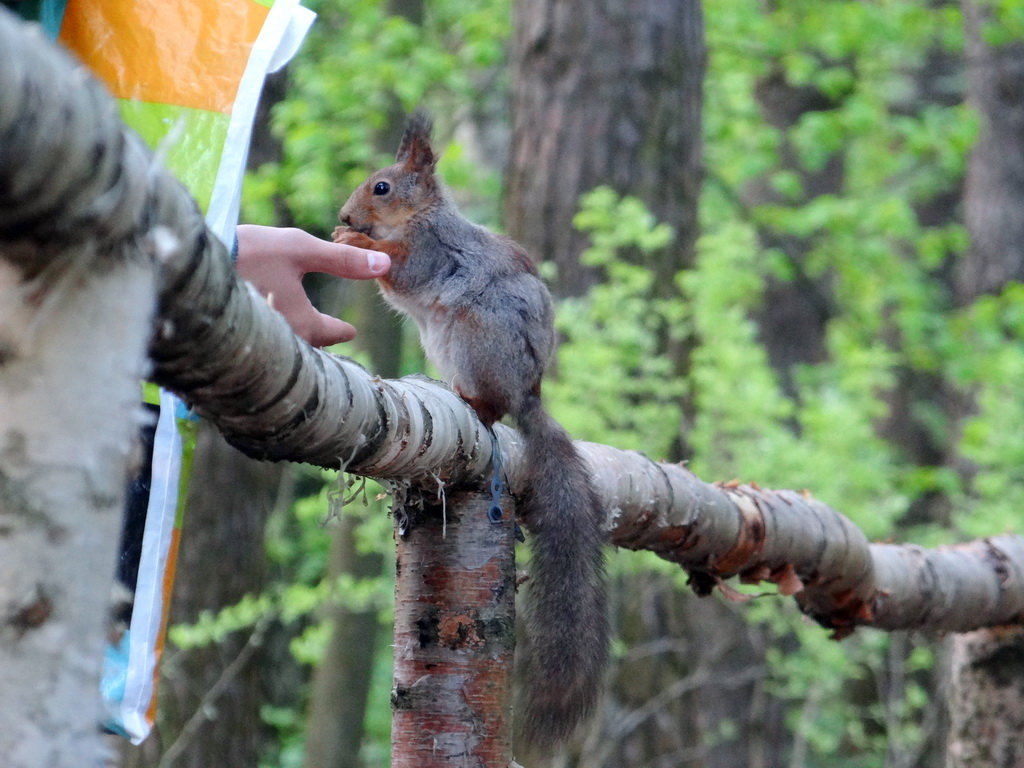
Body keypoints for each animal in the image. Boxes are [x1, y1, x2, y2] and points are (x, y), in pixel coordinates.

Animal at [333, 111, 606, 749]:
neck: (420, 217)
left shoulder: (429, 253)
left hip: (475, 336)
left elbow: (400, 268)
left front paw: (355, 244)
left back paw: (472, 401)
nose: (345, 216)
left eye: (382, 187)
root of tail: (528, 393)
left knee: (492, 407)